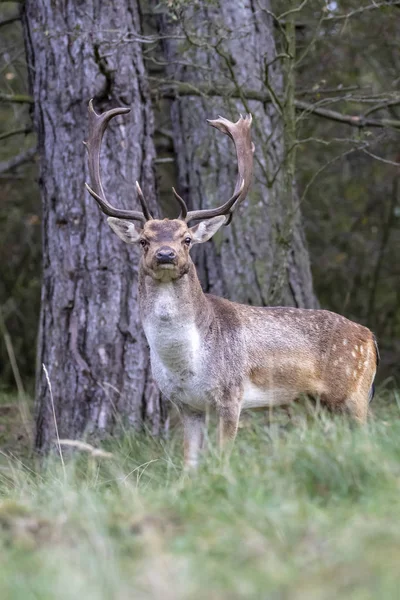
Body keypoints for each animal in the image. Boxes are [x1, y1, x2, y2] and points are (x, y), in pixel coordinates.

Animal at [83, 101, 378, 472]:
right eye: (144, 241)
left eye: (187, 239)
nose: (165, 254)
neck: (186, 363)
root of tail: (370, 338)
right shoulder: (185, 405)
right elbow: (189, 466)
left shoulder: (231, 393)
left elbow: (223, 457)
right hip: (312, 403)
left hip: (353, 392)